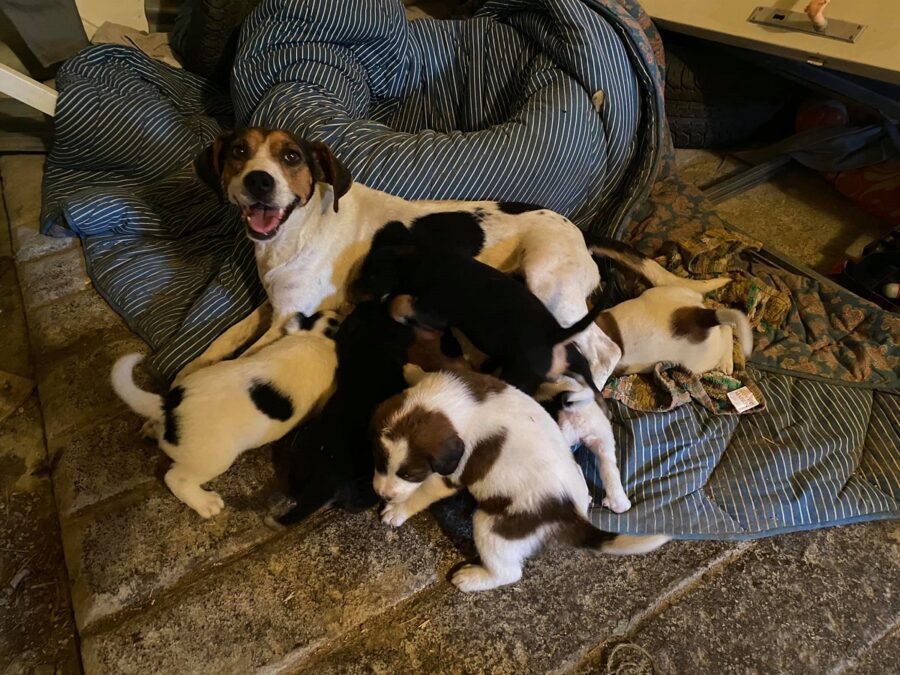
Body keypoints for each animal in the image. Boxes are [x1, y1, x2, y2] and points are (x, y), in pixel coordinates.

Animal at [112, 312, 338, 516]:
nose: (334, 314)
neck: (314, 339)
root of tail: (169, 405)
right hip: (212, 460)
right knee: (176, 479)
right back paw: (205, 503)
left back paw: (151, 428)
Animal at [356, 222, 600, 396]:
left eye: (370, 276)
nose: (353, 293)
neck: (417, 259)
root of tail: (556, 336)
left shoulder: (433, 309)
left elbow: (397, 304)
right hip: (573, 360)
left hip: (520, 375)